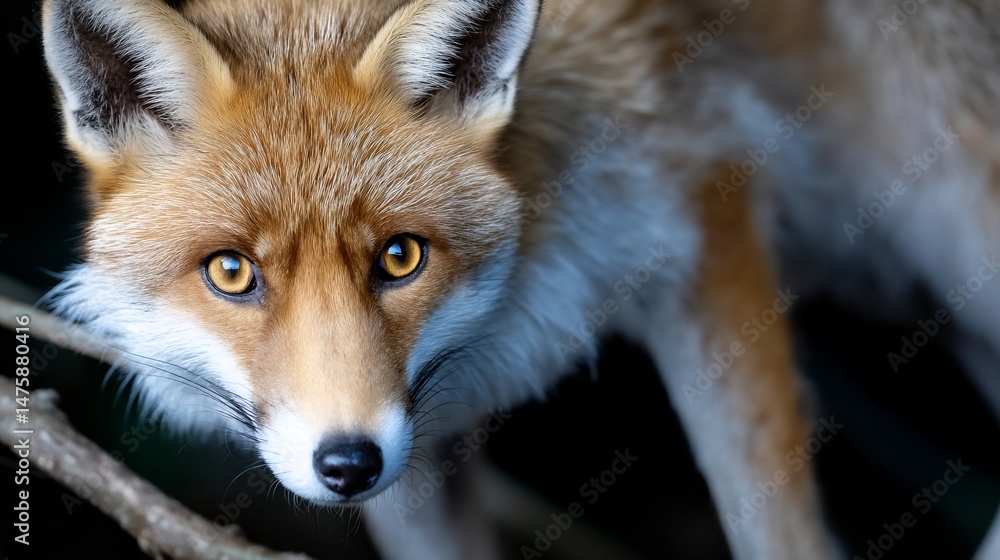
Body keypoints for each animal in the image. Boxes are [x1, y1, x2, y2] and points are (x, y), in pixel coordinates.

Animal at [37, 0, 1000, 558]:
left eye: (400, 257)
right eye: (233, 273)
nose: (347, 462)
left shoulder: (702, 197)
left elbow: (776, 531)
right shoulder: (417, 441)